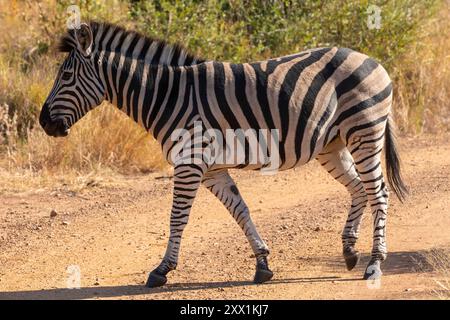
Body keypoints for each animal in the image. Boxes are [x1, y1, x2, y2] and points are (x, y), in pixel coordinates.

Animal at [39, 22, 408, 288]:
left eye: (66, 76)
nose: (44, 122)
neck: (167, 95)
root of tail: (372, 60)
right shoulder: (212, 170)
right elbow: (240, 211)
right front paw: (263, 264)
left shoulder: (189, 163)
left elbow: (177, 218)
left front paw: (162, 270)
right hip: (333, 145)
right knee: (359, 189)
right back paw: (349, 251)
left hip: (364, 132)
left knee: (379, 193)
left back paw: (374, 264)